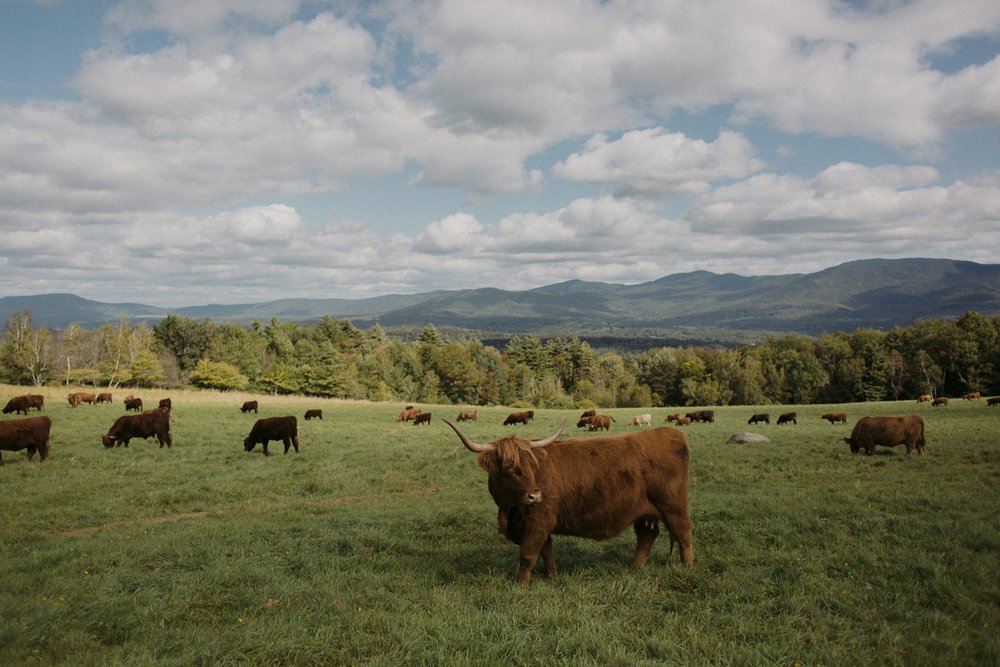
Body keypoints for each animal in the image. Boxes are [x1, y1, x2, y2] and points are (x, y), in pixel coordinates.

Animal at [442, 422, 692, 584]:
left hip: (673, 506)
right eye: (509, 469)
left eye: (531, 466)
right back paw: (634, 567)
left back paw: (687, 566)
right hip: (644, 512)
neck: (510, 510)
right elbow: (547, 550)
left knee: (684, 533)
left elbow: (528, 554)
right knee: (646, 537)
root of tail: (671, 433)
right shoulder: (539, 524)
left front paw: (521, 583)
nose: (535, 496)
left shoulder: (538, 520)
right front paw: (551, 575)